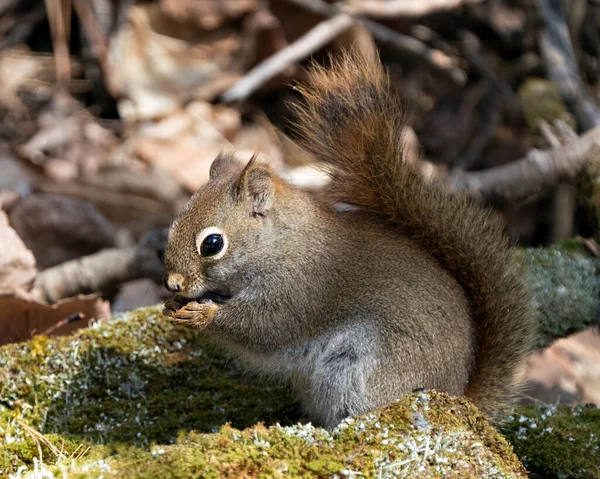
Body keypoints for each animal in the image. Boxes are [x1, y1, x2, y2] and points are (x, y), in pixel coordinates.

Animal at [162, 46, 536, 432]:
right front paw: (174, 305)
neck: (281, 244)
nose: (172, 283)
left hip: (360, 369)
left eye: (212, 244)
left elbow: (263, 327)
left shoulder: (301, 290)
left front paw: (202, 316)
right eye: (174, 224)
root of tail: (460, 397)